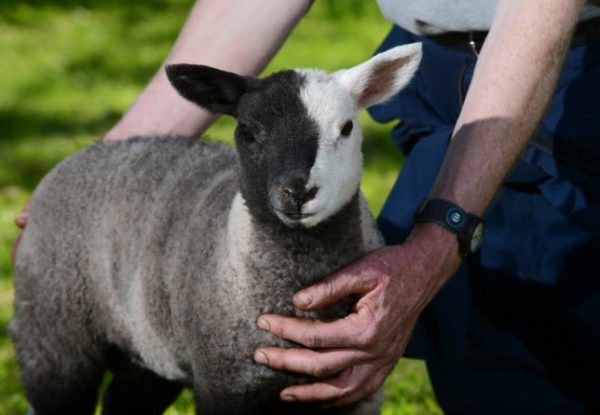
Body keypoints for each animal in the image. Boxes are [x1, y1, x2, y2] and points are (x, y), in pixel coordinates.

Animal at [9, 43, 422, 415]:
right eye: (248, 131)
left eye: (347, 128)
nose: (298, 192)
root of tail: (86, 150)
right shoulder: (227, 382)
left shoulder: (358, 391)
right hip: (52, 333)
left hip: (152, 344)